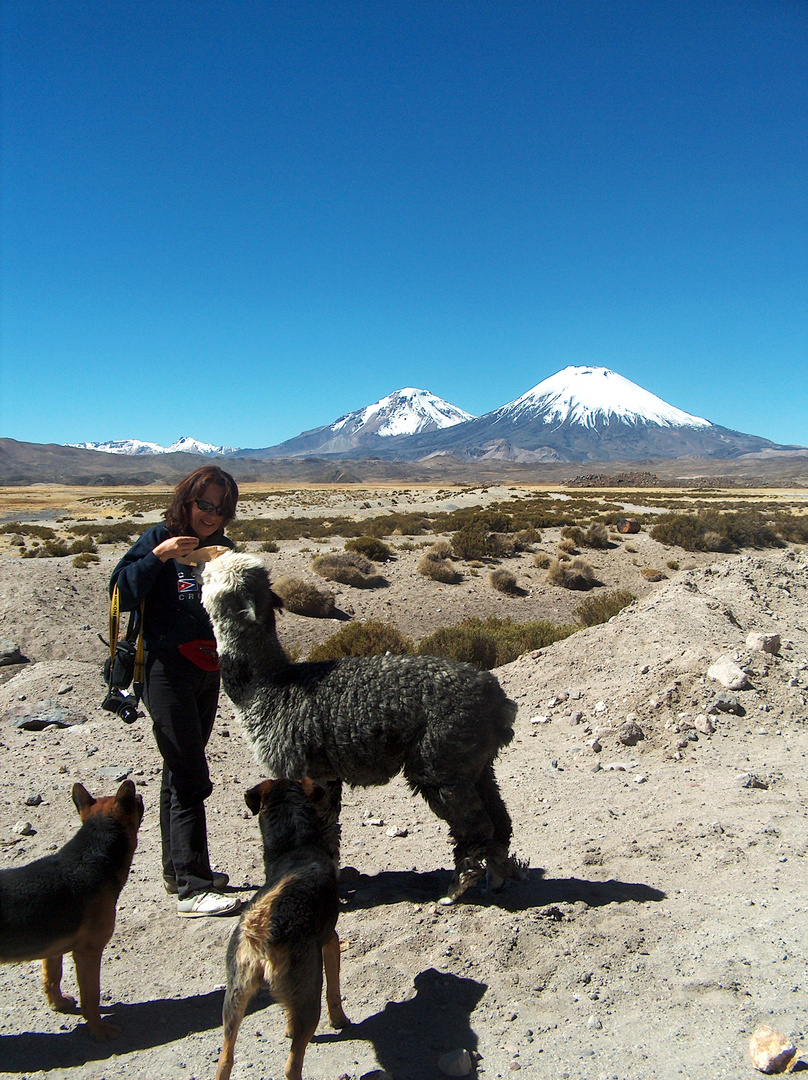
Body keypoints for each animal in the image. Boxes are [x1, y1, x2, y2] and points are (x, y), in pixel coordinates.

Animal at [0, 781, 143, 1041]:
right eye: (136, 802)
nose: (139, 795)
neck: (90, 854)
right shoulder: (88, 952)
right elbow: (91, 996)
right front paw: (98, 1030)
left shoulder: (53, 948)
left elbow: (52, 978)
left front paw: (57, 1004)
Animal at [214, 781, 347, 1080]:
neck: (295, 848)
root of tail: (260, 931)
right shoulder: (330, 940)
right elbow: (334, 990)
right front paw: (340, 1021)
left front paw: (287, 1028)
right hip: (309, 997)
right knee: (291, 1066)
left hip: (233, 1000)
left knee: (225, 1060)